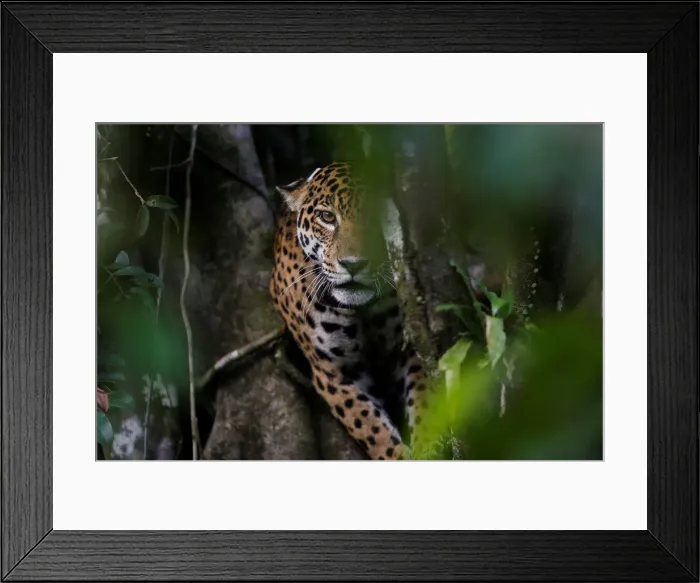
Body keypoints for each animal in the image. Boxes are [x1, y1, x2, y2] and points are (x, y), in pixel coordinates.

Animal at [269, 162, 430, 460]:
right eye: (327, 217)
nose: (353, 264)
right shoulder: (334, 373)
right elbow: (372, 429)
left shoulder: (406, 349)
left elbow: (427, 404)